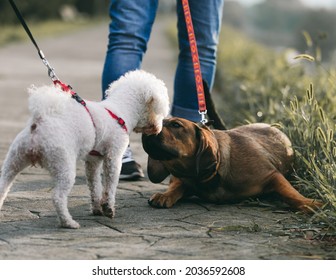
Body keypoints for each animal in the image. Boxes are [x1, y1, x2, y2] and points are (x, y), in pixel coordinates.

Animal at [0, 69, 168, 228]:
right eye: (158, 110)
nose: (158, 128)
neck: (120, 110)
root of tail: (38, 124)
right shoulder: (113, 157)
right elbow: (110, 185)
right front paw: (108, 208)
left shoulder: (93, 161)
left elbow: (94, 185)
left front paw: (97, 208)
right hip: (63, 164)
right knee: (58, 197)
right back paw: (68, 223)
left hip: (14, 160)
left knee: (3, 187)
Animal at [141, 118, 320, 212]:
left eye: (176, 125)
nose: (146, 126)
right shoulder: (183, 180)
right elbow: (176, 187)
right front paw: (165, 195)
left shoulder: (272, 175)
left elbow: (290, 194)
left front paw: (309, 203)